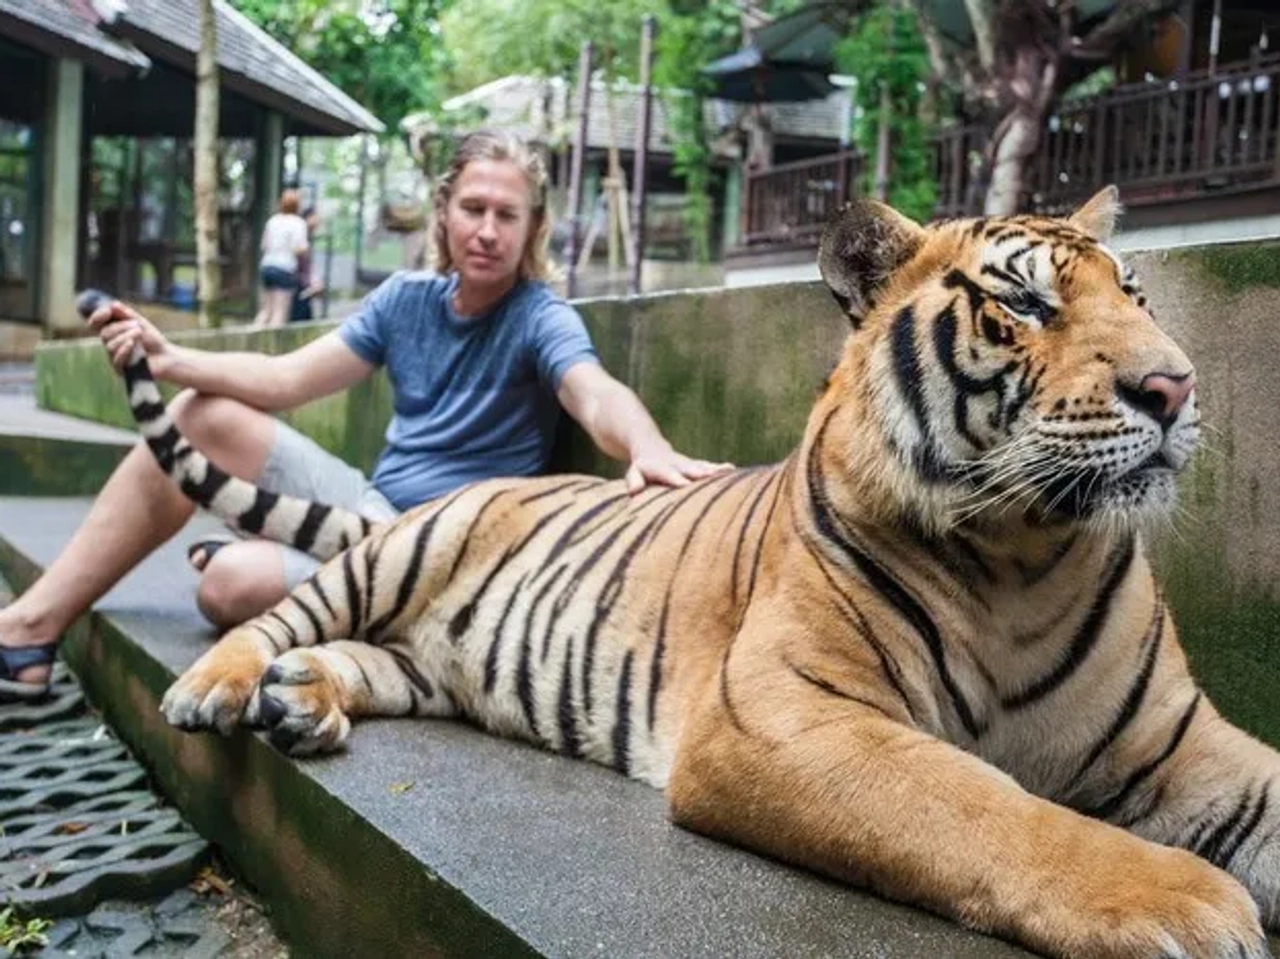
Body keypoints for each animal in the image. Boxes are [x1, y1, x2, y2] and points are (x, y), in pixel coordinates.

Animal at [104, 186, 1280, 959]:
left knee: (373, 659)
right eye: (1025, 304)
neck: (1025, 554)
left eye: (1135, 293)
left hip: (439, 659)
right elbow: (978, 802)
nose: (1173, 387)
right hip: (399, 552)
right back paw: (221, 684)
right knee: (278, 612)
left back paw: (306, 699)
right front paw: (1188, 903)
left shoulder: (1180, 741)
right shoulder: (784, 716)